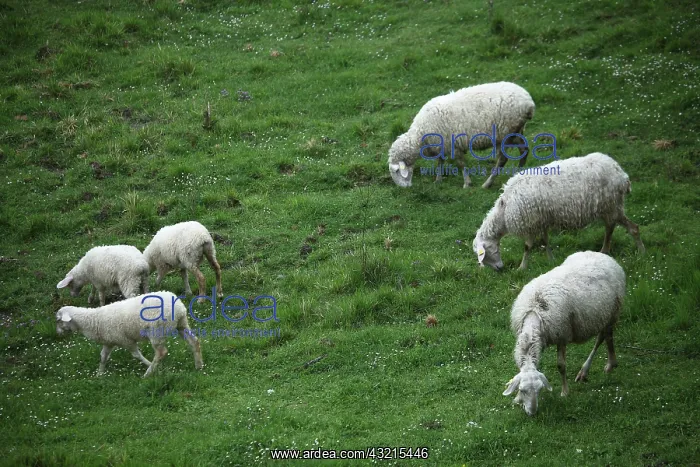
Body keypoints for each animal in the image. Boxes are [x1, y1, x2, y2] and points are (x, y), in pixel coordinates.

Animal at [55, 291, 203, 377]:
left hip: (156, 331)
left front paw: (151, 366)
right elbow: (103, 357)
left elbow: (136, 355)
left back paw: (147, 374)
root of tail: (178, 306)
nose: (58, 333)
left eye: (58, 320)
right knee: (194, 341)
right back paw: (199, 366)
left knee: (161, 352)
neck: (94, 320)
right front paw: (99, 374)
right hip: (181, 324)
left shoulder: (126, 340)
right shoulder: (109, 342)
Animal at [387, 81, 535, 189]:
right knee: (524, 150)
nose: (404, 188)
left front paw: (467, 183)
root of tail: (529, 103)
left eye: (397, 171)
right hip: (516, 131)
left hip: (505, 133)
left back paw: (487, 183)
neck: (420, 135)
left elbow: (461, 164)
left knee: (502, 160)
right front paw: (438, 180)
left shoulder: (453, 145)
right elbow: (440, 162)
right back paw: (517, 173)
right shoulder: (442, 144)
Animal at [473, 152, 645, 271]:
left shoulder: (530, 222)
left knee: (619, 228)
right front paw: (551, 260)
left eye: (485, 253)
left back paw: (627, 251)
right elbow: (545, 241)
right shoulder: (541, 221)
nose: (500, 269)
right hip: (611, 207)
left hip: (611, 206)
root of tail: (622, 175)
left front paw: (522, 267)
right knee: (623, 227)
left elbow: (528, 247)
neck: (504, 210)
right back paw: (620, 250)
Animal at [503, 251, 625, 416]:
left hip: (612, 312)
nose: (532, 412)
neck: (535, 311)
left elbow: (561, 366)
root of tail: (603, 255)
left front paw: (565, 392)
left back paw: (602, 366)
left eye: (540, 390)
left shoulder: (561, 335)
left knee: (605, 337)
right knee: (605, 336)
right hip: (603, 315)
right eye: (522, 390)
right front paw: (516, 399)